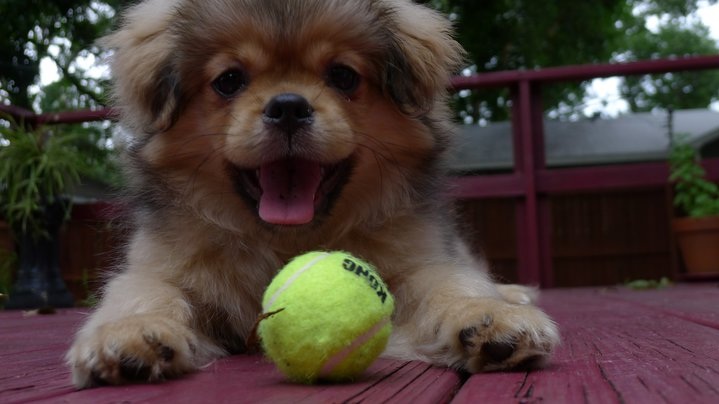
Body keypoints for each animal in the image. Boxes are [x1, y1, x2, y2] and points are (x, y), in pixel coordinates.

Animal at [66, 0, 564, 386]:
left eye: (342, 76)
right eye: (229, 80)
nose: (288, 106)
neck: (286, 240)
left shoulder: (421, 261)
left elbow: (450, 283)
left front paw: (488, 319)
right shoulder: (157, 268)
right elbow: (144, 294)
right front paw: (132, 336)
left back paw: (513, 294)